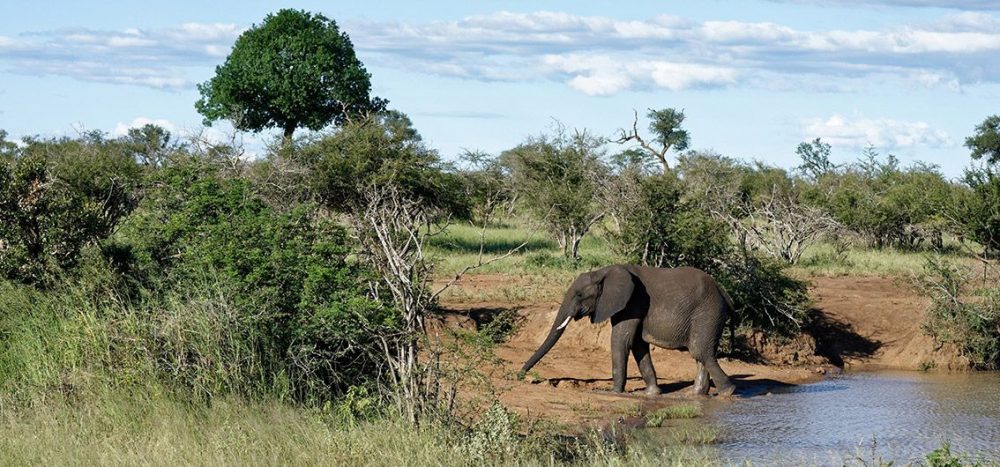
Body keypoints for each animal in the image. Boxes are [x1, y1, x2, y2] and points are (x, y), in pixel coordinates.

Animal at [524, 266, 736, 396]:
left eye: (580, 295)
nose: (522, 375)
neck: (603, 271)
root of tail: (723, 292)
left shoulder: (632, 303)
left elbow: (620, 341)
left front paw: (613, 393)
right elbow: (637, 345)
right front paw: (651, 394)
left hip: (707, 312)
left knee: (700, 352)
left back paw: (728, 392)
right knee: (701, 354)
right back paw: (696, 394)